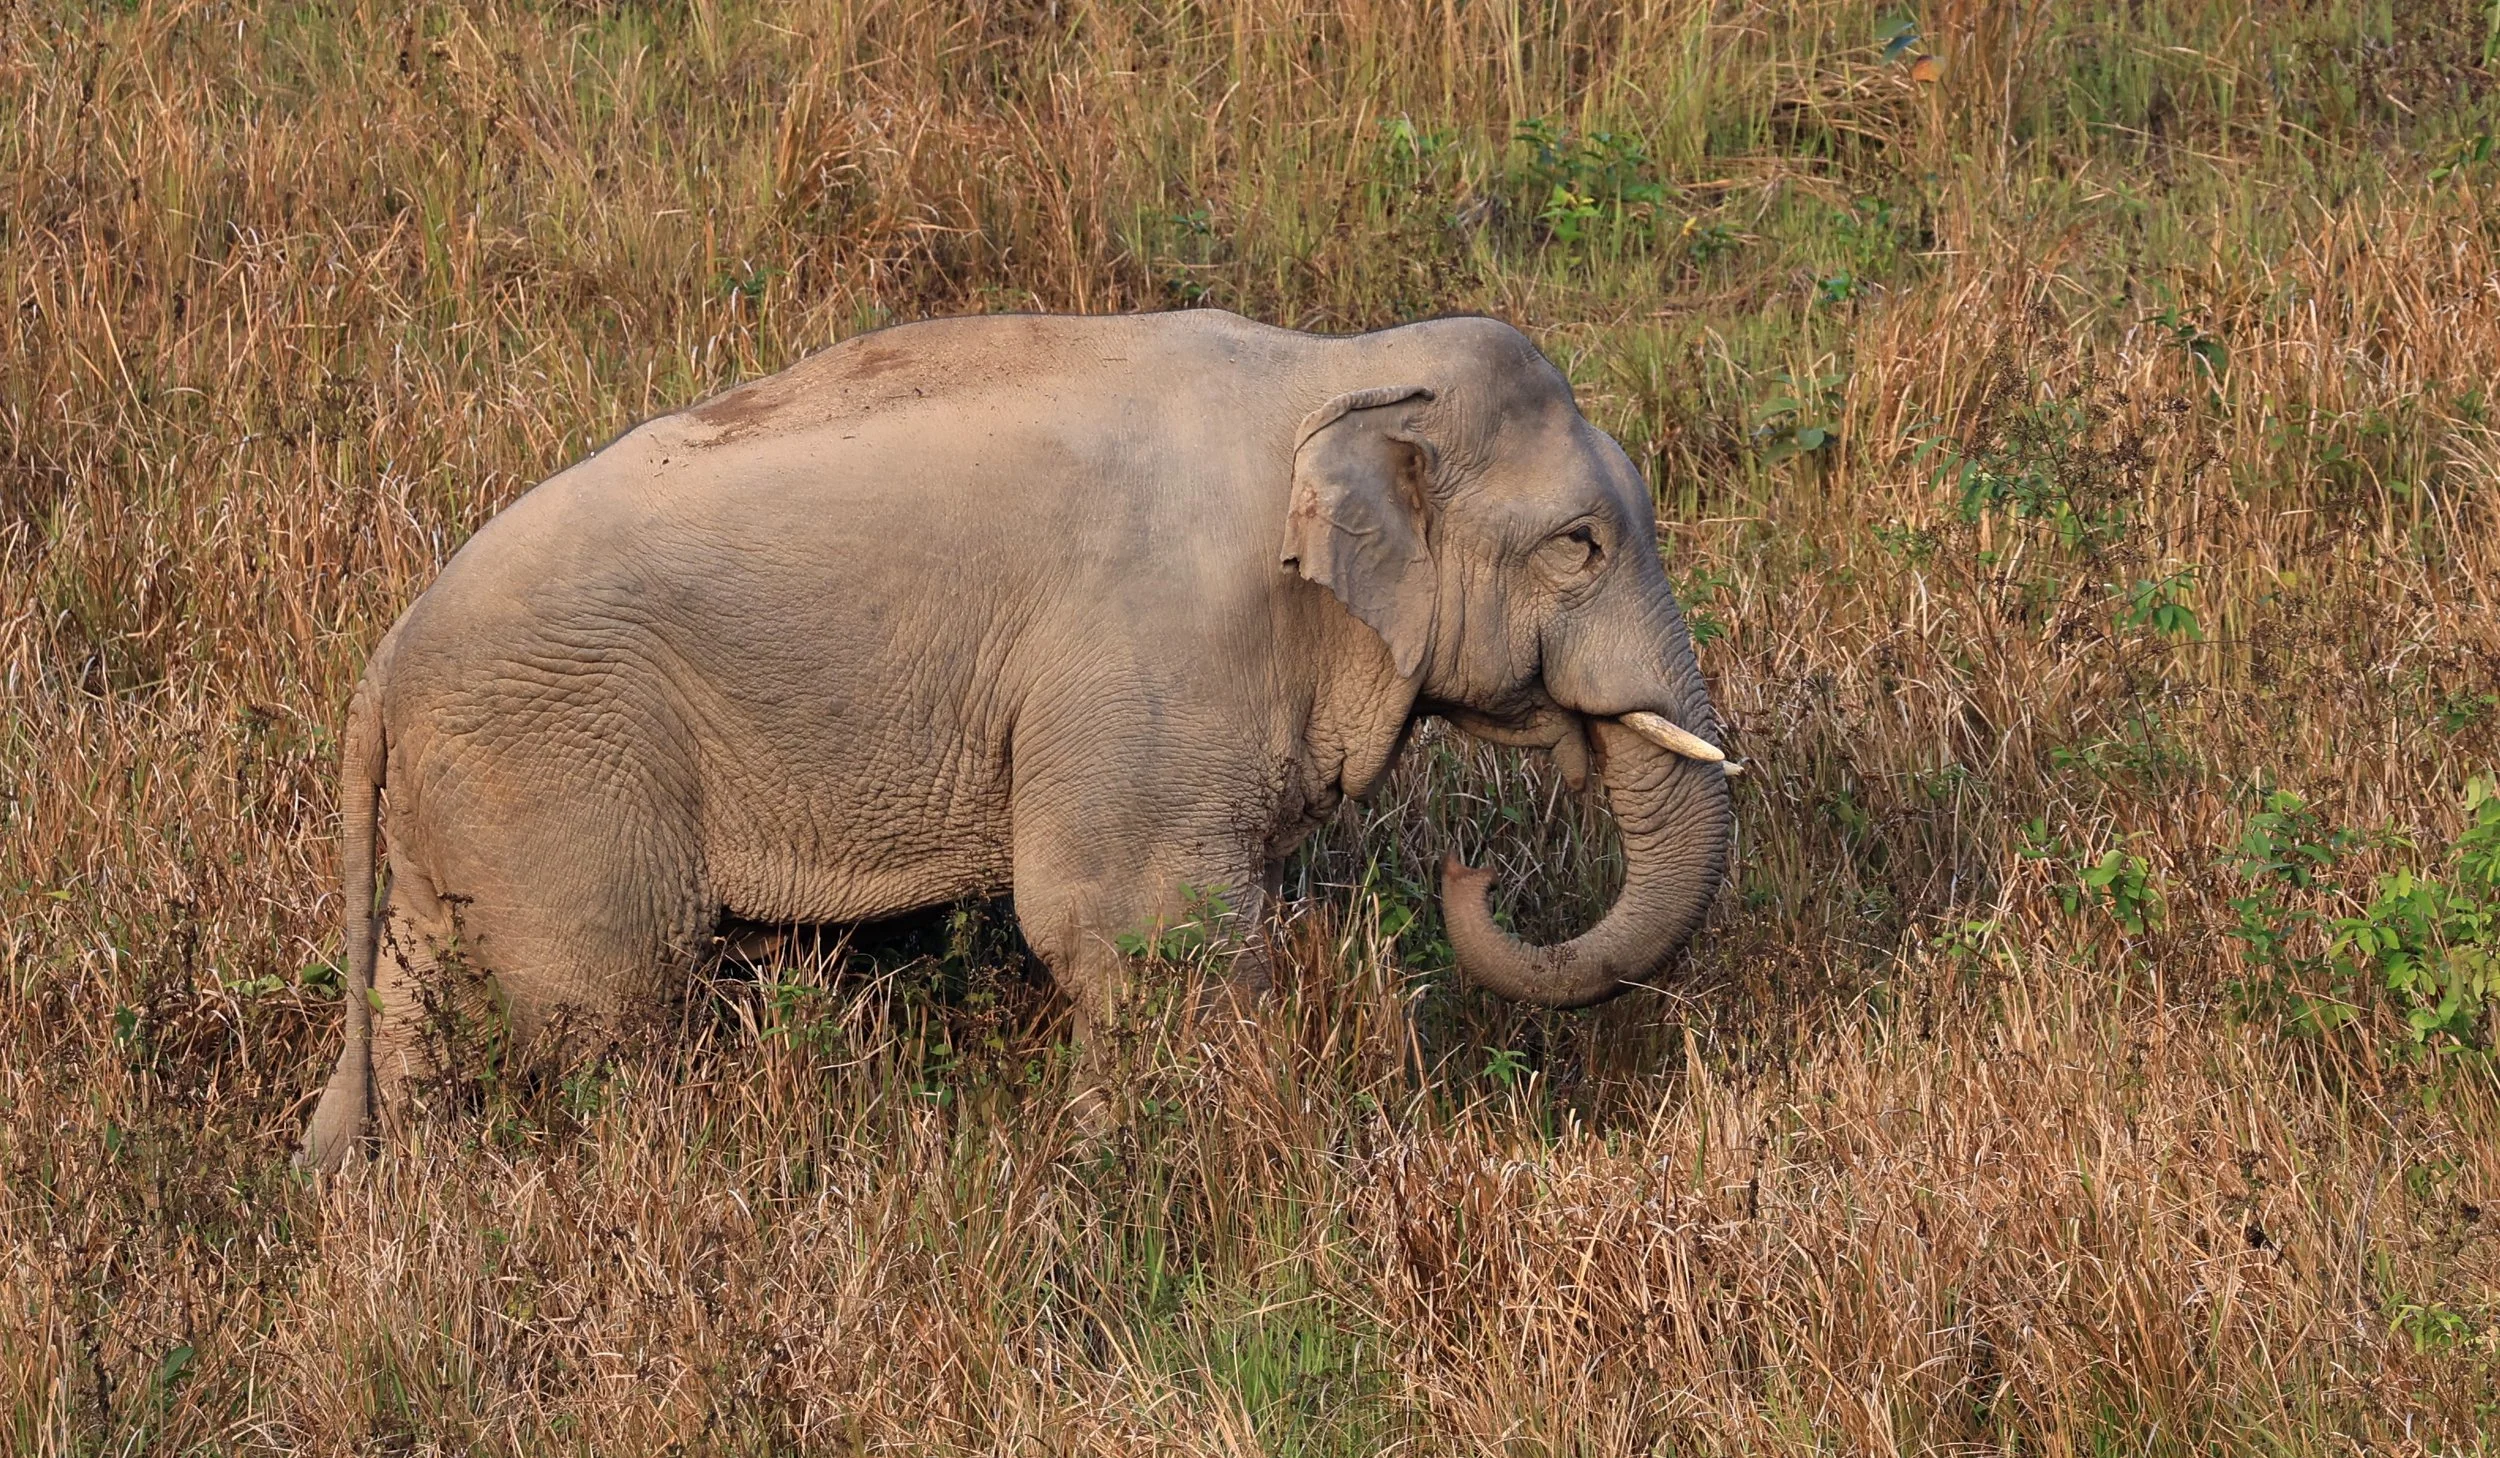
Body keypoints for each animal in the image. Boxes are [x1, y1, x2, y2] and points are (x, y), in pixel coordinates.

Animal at [299, 309, 1735, 1170]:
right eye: (1578, 544)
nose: (1466, 876)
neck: (1337, 369)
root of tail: (382, 660)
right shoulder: (1155, 655)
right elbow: (1131, 923)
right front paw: (1129, 1170)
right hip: (562, 764)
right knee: (599, 1007)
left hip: (466, 799)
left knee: (420, 997)